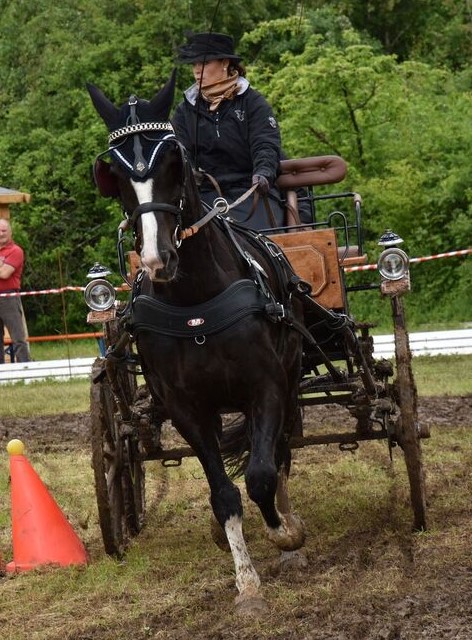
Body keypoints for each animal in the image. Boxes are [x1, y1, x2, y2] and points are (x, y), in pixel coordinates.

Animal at [87, 72, 306, 612]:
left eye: (174, 160)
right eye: (113, 174)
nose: (156, 257)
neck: (195, 302)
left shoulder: (266, 386)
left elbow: (261, 474)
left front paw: (283, 535)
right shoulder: (185, 407)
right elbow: (224, 492)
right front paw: (246, 582)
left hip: (291, 375)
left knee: (281, 449)